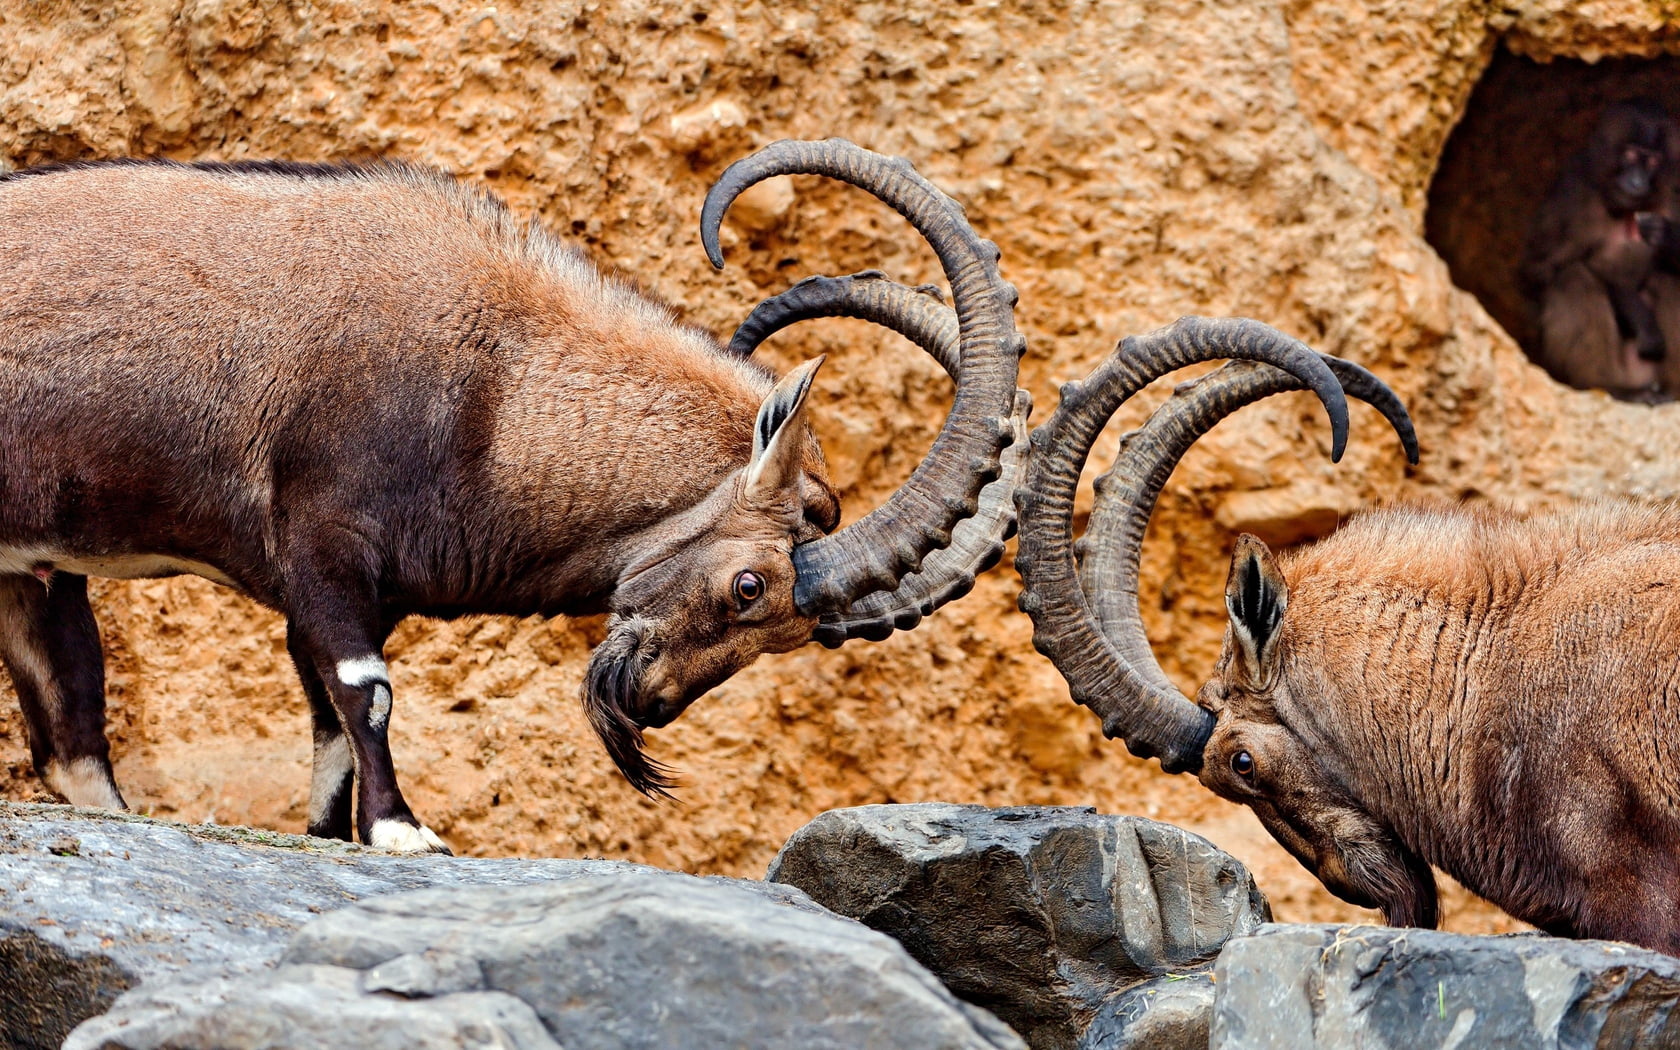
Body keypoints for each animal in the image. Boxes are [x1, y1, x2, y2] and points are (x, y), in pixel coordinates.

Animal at [0, 141, 1025, 853]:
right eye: (750, 587)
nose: (649, 703)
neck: (499, 387)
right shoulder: (324, 543)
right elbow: (364, 691)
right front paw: (404, 830)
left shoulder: (340, 590)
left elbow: (325, 714)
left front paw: (333, 835)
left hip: (30, 573)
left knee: (71, 743)